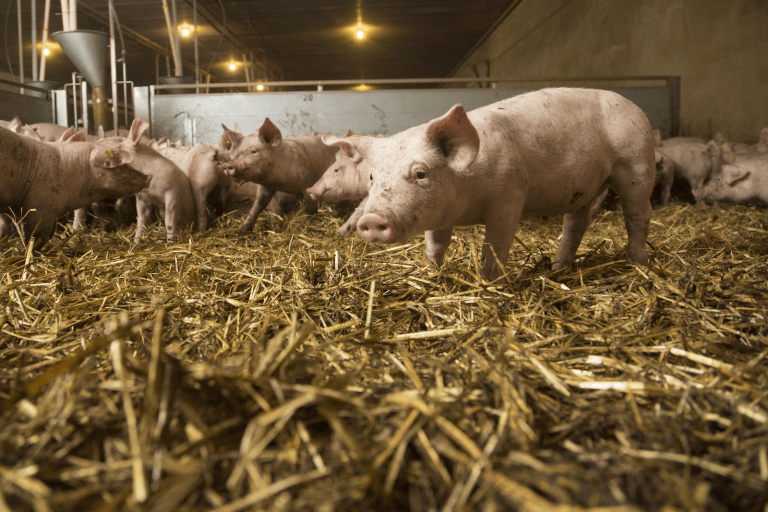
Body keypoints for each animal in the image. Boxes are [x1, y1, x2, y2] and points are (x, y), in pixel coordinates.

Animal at [324, 88, 655, 281]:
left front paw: (489, 282)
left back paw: (637, 264)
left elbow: (494, 246)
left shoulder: (510, 196)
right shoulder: (439, 215)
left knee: (638, 215)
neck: (467, 201)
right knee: (576, 223)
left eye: (420, 174)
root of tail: (633, 104)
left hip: (636, 163)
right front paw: (432, 273)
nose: (371, 219)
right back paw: (557, 268)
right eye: (372, 177)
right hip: (585, 188)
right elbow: (436, 245)